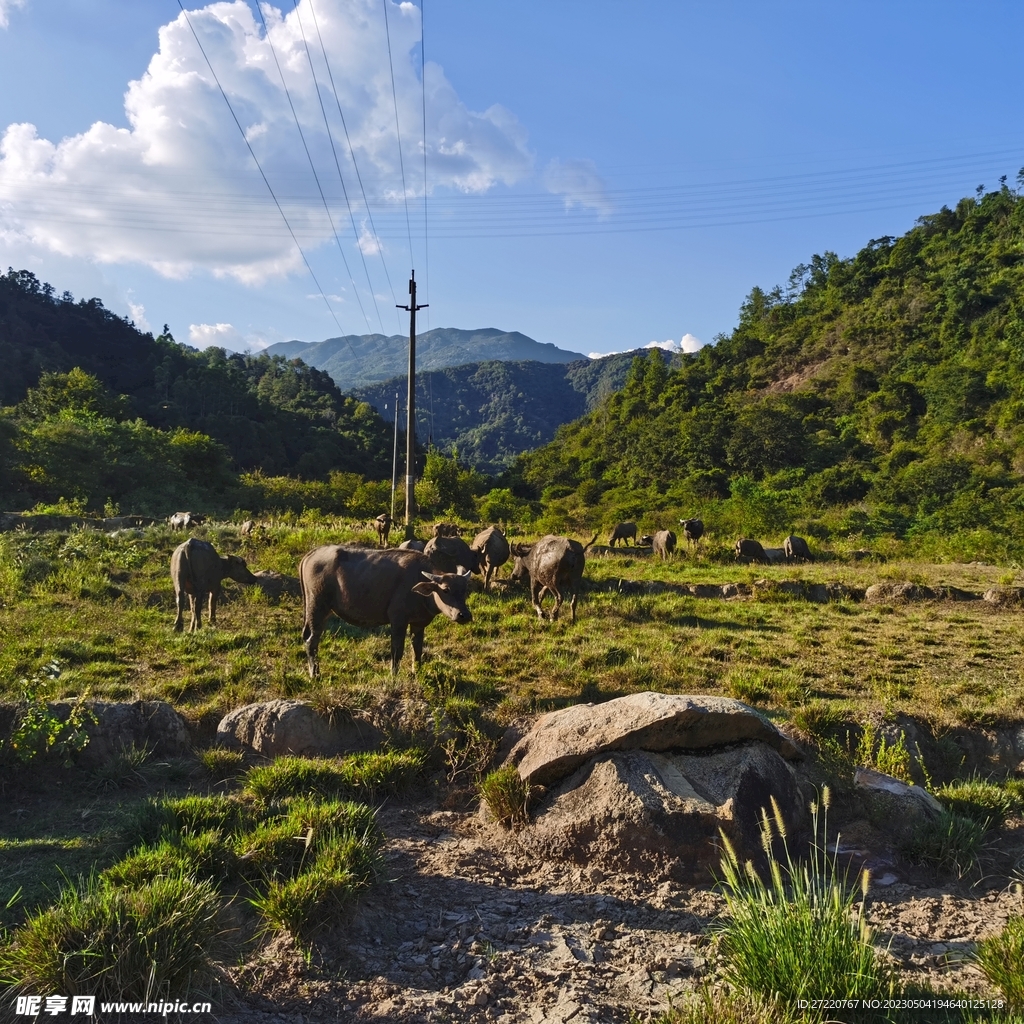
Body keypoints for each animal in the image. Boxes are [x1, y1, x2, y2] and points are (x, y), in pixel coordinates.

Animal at [296, 544, 471, 679]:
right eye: (446, 590)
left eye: (464, 590)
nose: (464, 615)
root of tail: (311, 554)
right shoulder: (398, 621)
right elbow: (397, 650)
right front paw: (394, 675)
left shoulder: (418, 624)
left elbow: (417, 649)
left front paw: (417, 672)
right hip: (316, 607)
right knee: (312, 640)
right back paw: (315, 675)